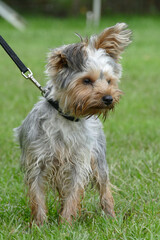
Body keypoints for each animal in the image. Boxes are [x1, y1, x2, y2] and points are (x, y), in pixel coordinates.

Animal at [14, 23, 131, 225]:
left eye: (109, 81)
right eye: (86, 80)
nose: (109, 98)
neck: (66, 118)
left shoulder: (78, 163)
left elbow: (73, 194)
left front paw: (66, 224)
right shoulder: (37, 162)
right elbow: (37, 196)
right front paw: (39, 224)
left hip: (98, 159)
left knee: (104, 187)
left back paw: (110, 217)